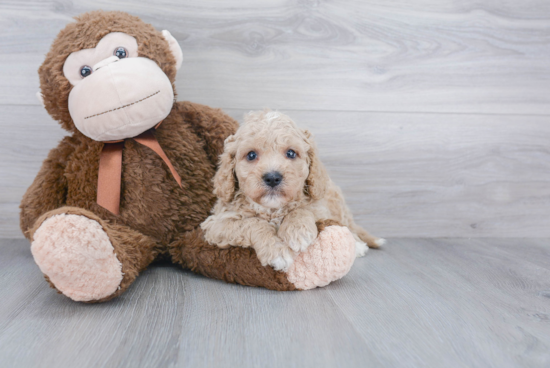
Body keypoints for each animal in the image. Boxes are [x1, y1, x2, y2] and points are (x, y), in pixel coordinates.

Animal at [201, 109, 386, 270]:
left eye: (291, 153)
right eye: (251, 155)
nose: (272, 178)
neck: (272, 209)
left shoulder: (319, 207)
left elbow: (304, 209)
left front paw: (298, 231)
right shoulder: (216, 225)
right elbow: (252, 223)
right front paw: (276, 251)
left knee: (348, 227)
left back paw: (358, 244)